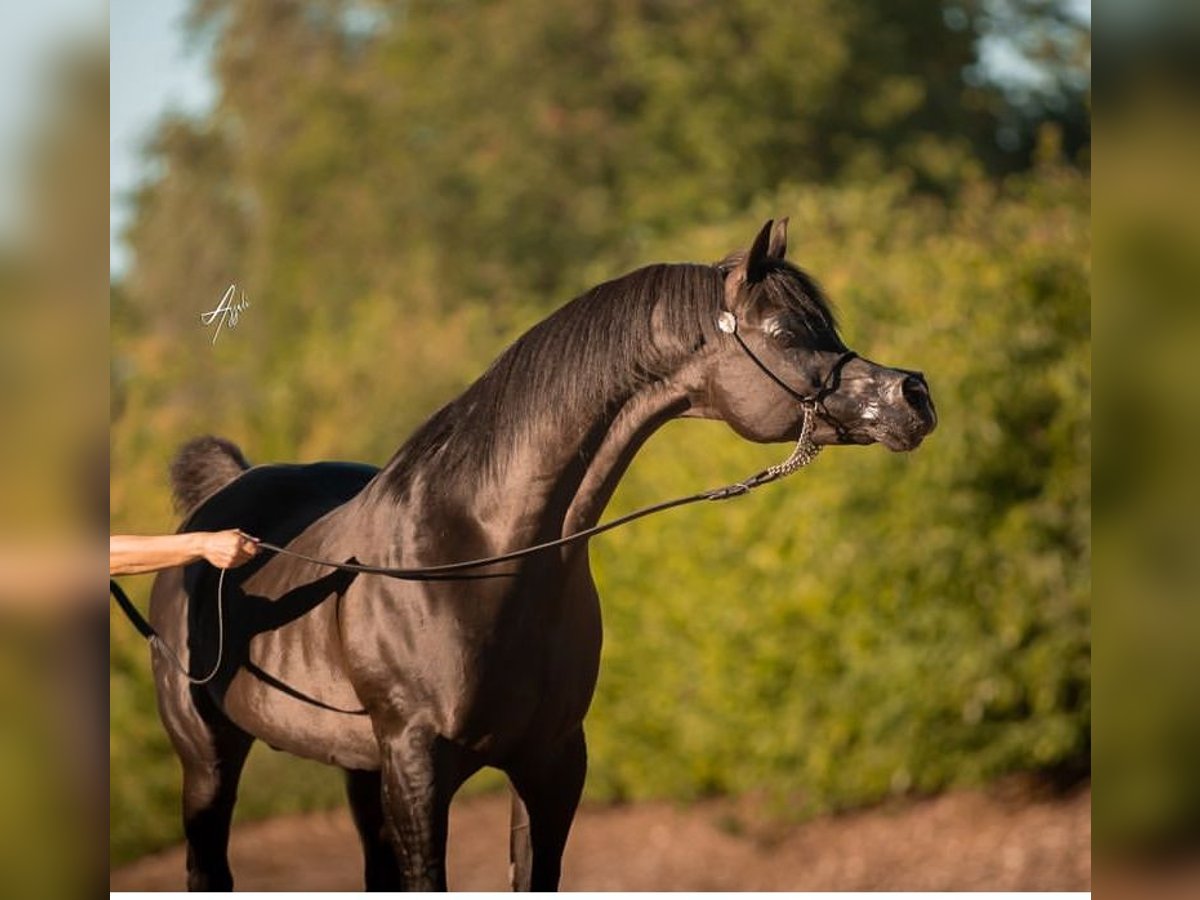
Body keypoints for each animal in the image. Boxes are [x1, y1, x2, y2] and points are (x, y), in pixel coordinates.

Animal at [147, 218, 936, 888]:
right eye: (784, 331)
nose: (915, 394)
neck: (483, 557)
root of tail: (219, 503)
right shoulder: (417, 769)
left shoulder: (551, 766)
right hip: (209, 759)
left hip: (356, 767)